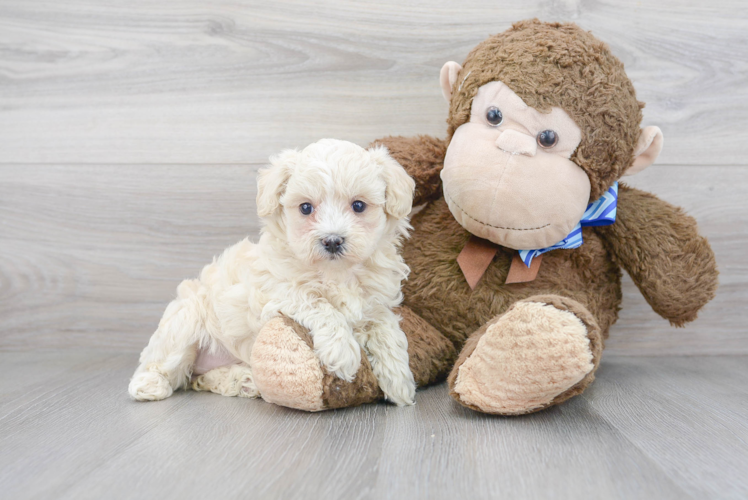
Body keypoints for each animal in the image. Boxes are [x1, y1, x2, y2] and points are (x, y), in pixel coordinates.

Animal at [131, 138, 418, 406]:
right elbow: (318, 302)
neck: (335, 274)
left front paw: (399, 380)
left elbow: (386, 328)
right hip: (185, 321)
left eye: (358, 206)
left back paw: (243, 380)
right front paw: (342, 351)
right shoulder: (277, 292)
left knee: (199, 379)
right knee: (160, 365)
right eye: (306, 208)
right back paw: (149, 385)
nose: (333, 241)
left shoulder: (375, 304)